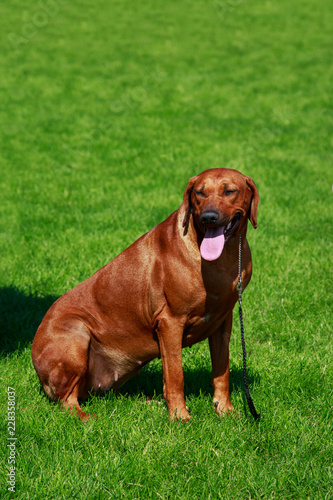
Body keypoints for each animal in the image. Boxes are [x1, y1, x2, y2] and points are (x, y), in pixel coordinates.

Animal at [31, 169, 258, 422]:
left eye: (229, 191)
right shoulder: (170, 323)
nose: (209, 217)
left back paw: (150, 402)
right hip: (76, 333)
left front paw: (224, 409)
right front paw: (179, 416)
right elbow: (175, 376)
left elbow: (221, 371)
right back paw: (89, 417)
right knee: (67, 401)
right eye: (200, 193)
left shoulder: (223, 321)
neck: (222, 257)